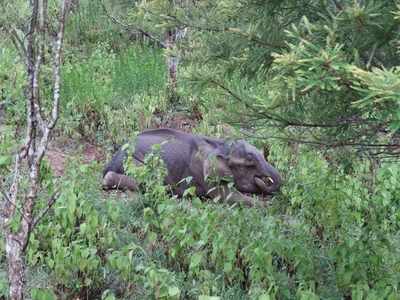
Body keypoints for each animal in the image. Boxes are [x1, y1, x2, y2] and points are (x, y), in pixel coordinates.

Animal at [103, 127, 282, 207]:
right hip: (133, 162)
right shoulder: (204, 172)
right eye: (250, 162)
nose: (265, 179)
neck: (219, 145)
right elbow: (224, 195)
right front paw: (264, 206)